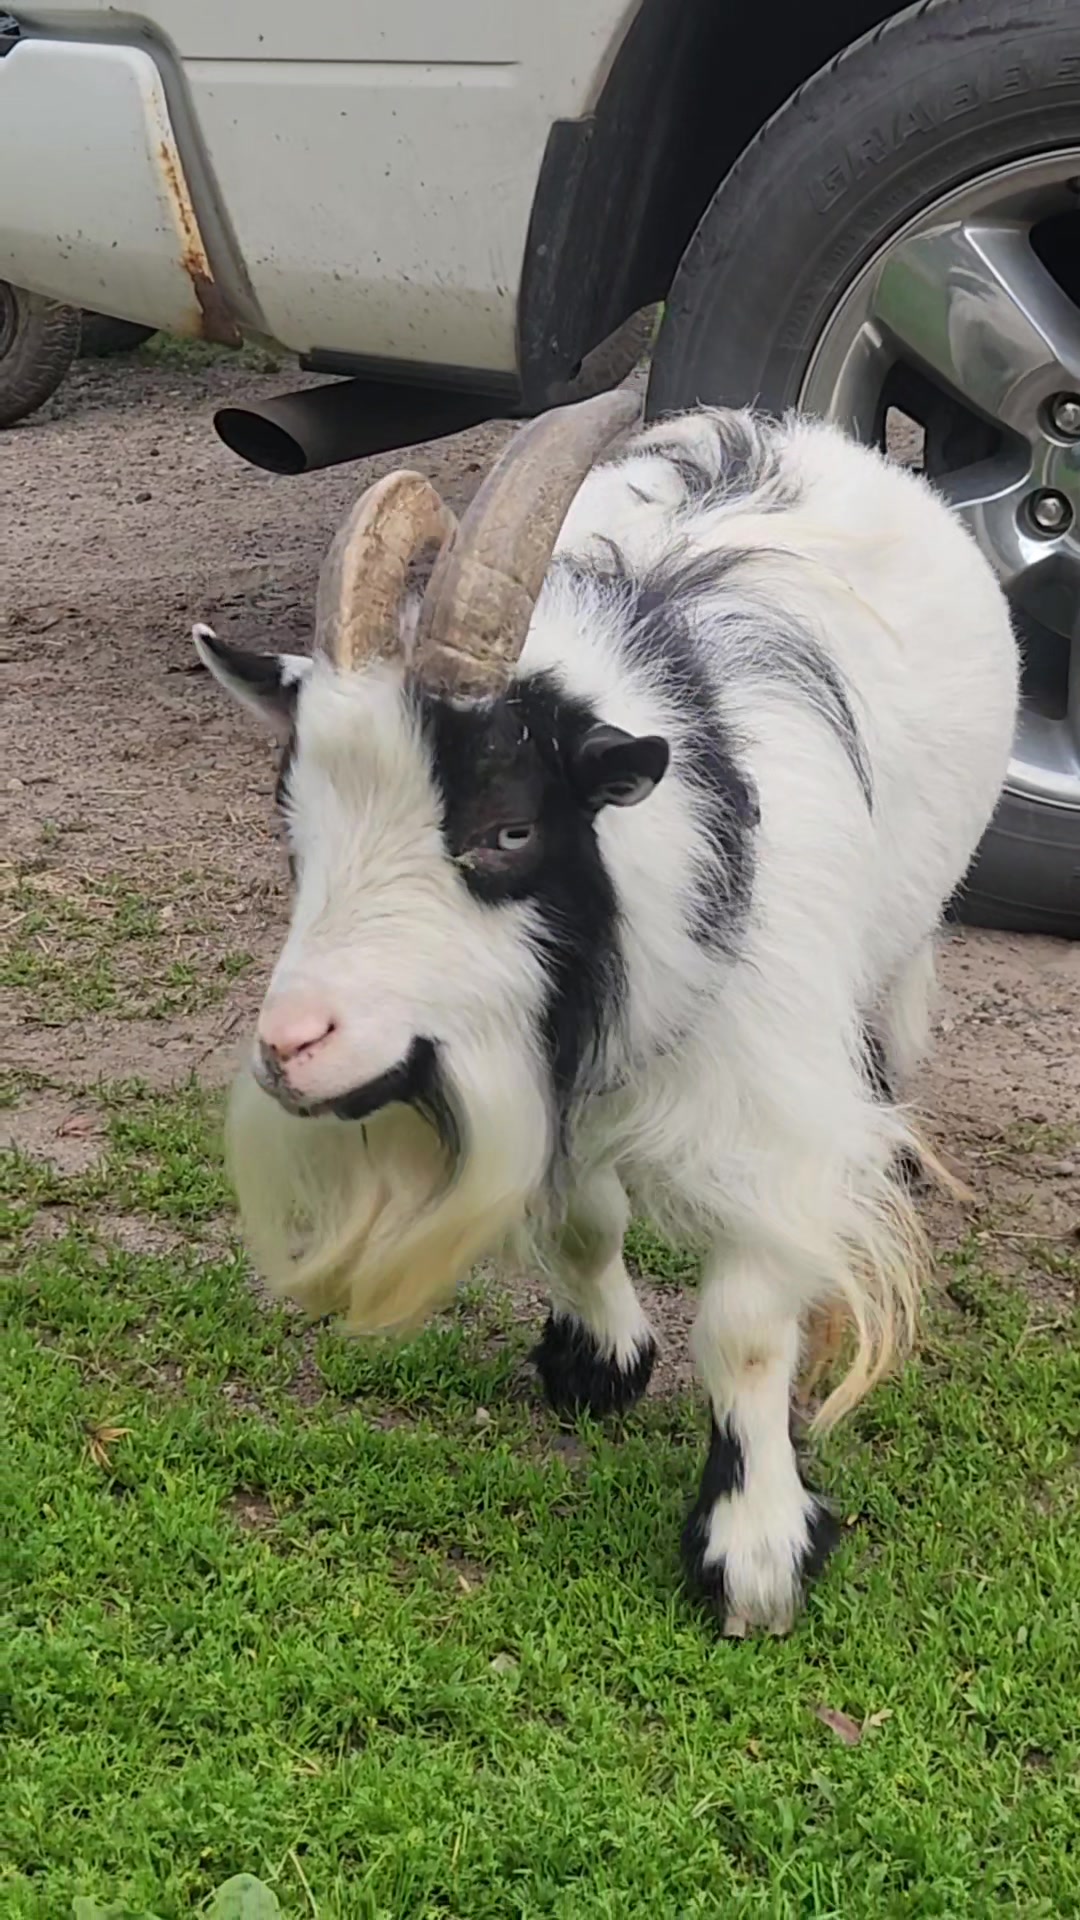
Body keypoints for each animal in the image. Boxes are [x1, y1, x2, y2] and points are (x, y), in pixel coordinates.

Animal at [195, 392, 1018, 1634]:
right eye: (291, 824)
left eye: (509, 829)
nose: (297, 1047)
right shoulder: (567, 1091)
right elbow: (584, 1221)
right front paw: (602, 1362)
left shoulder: (775, 1110)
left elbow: (747, 1326)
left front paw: (756, 1550)